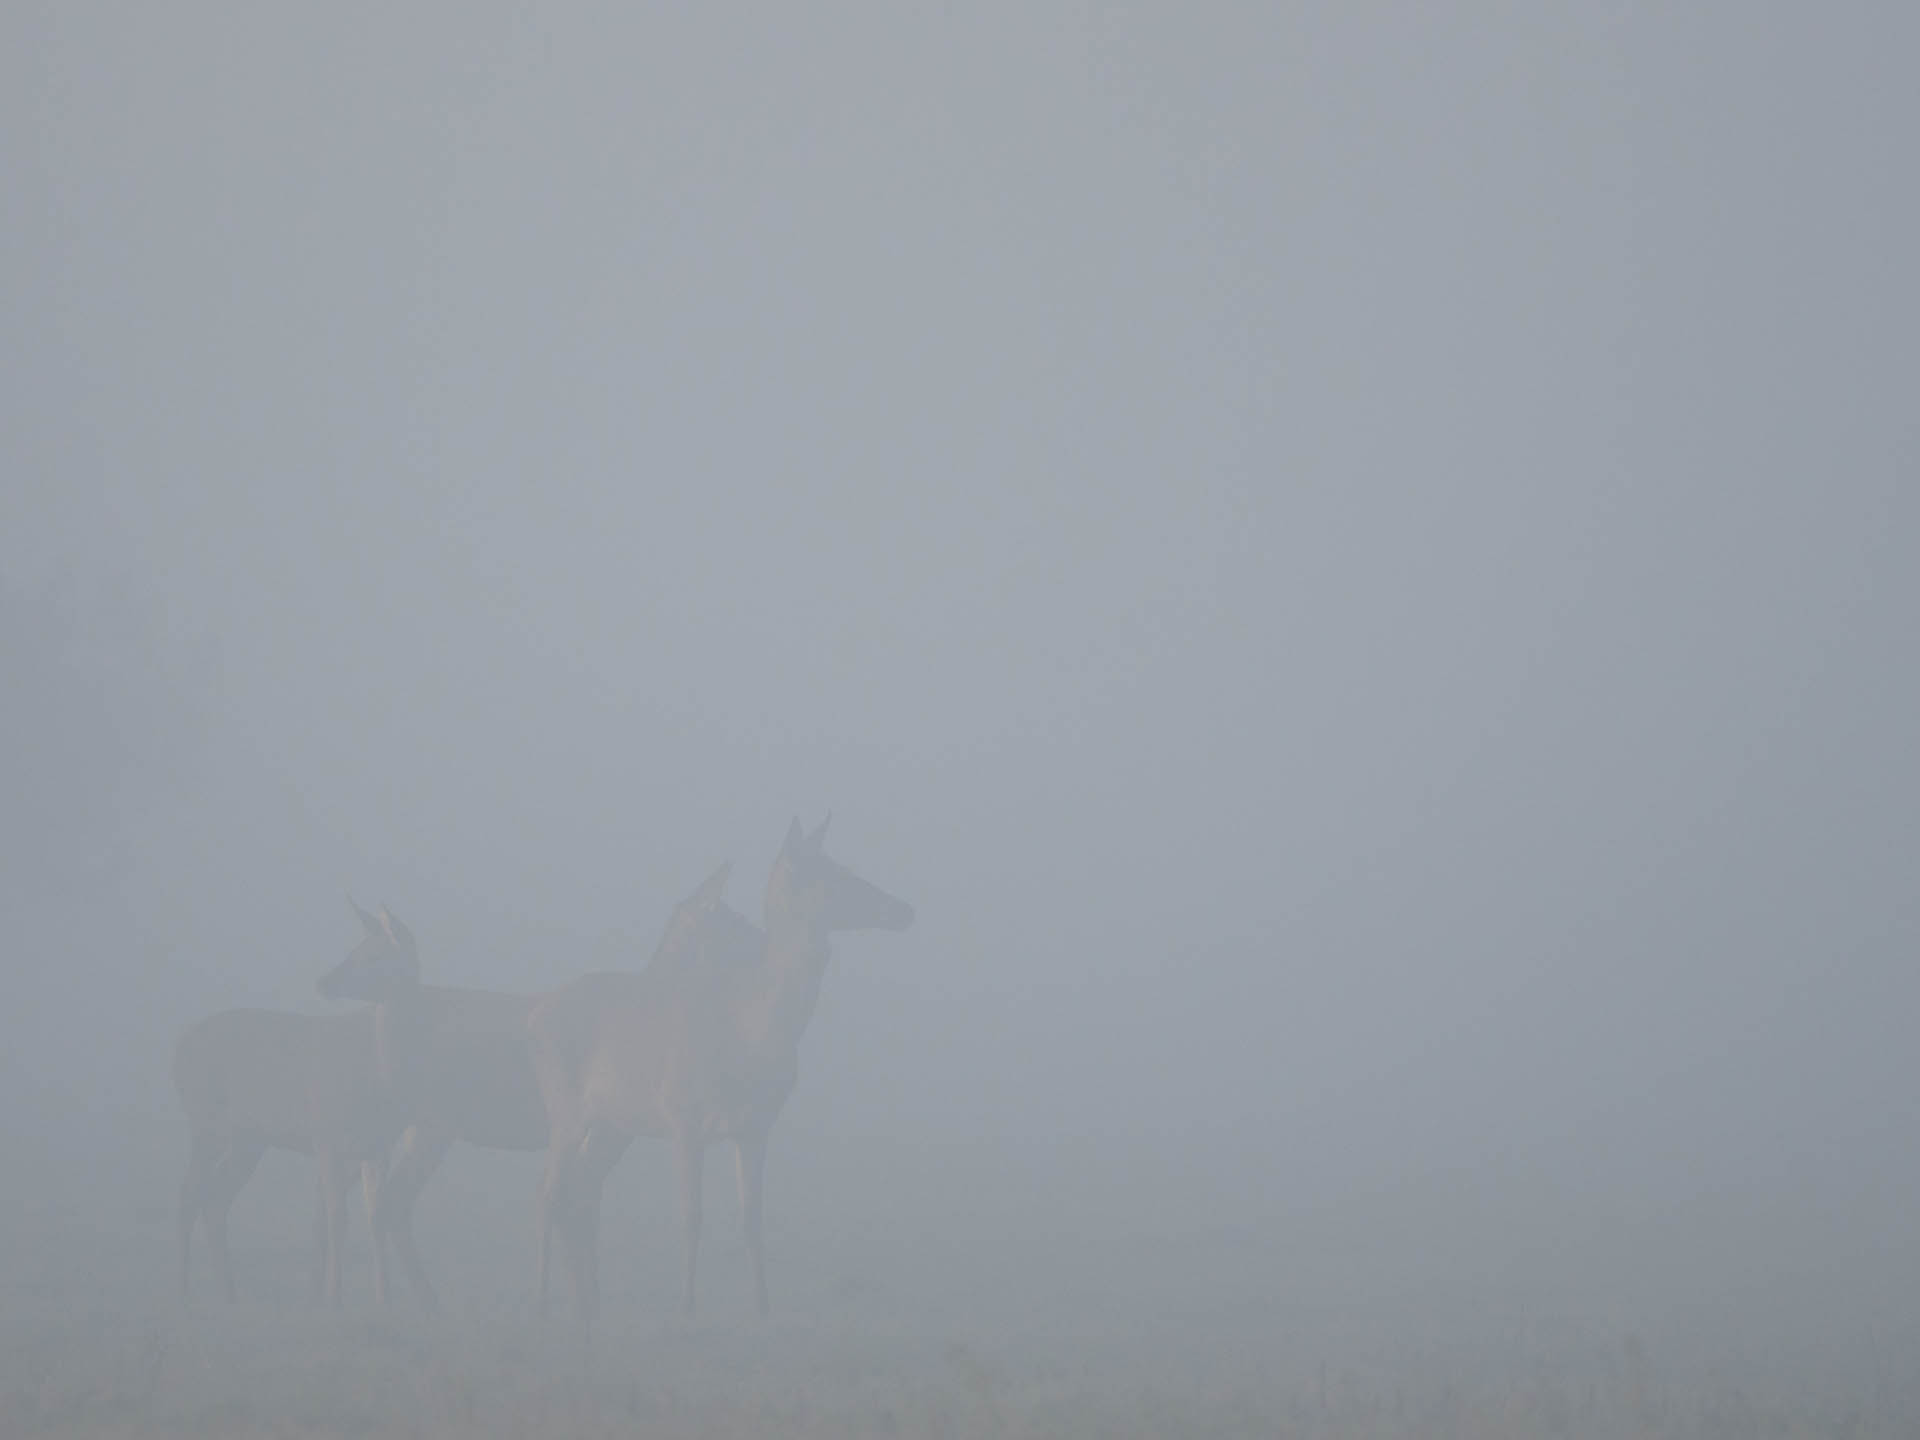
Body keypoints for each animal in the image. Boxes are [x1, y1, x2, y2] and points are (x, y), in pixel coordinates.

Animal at [171, 906, 424, 1313]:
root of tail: (176, 1053)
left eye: (374, 956)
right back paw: (182, 1292)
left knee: (215, 1198)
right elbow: (336, 1219)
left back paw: (229, 1295)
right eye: (354, 949)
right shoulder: (326, 1135)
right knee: (188, 1193)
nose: (323, 981)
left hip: (247, 1140)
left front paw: (383, 1302)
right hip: (203, 1120)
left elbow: (374, 1217)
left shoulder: (377, 1147)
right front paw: (333, 1301)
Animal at [526, 817, 913, 1336]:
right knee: (548, 1191)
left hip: (609, 1123)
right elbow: (692, 1215)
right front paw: (687, 1307)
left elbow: (752, 1218)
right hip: (565, 1107)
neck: (751, 1033)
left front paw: (763, 1306)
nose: (904, 909)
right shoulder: (682, 1117)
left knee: (579, 1189)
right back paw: (544, 1303)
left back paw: (589, 1304)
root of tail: (535, 1019)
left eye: (842, 864)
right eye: (827, 874)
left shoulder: (755, 1127)